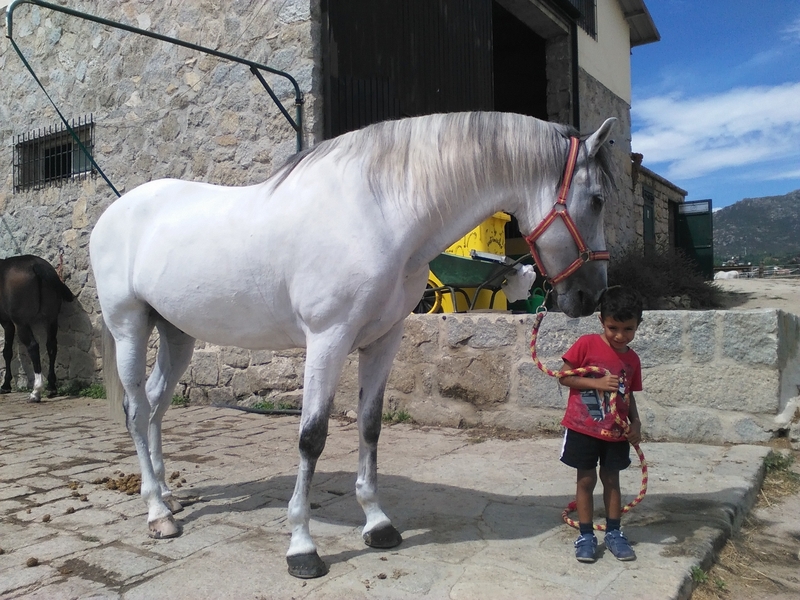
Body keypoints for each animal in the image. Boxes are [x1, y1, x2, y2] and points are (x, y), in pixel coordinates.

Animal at [0, 254, 75, 402]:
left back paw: (36, 391)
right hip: (51, 319)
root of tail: (35, 265)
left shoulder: (7, 322)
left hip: (22, 323)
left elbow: (7, 352)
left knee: (33, 346)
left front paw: (5, 385)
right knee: (51, 346)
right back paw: (51, 387)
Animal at [89, 111, 616, 578]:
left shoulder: (383, 339)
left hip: (176, 333)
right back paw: (157, 513)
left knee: (156, 405)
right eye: (595, 200)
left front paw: (377, 523)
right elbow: (312, 437)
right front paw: (302, 547)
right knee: (137, 410)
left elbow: (370, 426)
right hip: (129, 326)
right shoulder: (328, 338)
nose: (592, 296)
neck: (380, 211)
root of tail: (111, 215)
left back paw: (167, 496)